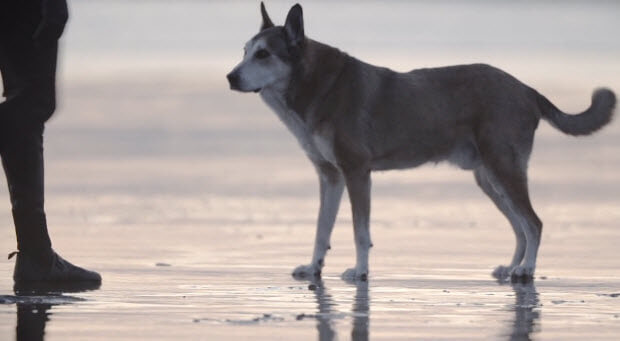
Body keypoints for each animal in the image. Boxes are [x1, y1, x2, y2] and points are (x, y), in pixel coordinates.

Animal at [228, 2, 616, 280]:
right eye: (244, 50)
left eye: (264, 54)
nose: (230, 77)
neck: (317, 85)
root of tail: (527, 89)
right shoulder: (331, 176)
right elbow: (321, 229)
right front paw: (313, 268)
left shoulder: (357, 172)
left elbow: (359, 231)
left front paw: (361, 271)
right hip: (490, 179)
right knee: (520, 226)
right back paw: (512, 267)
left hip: (504, 170)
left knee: (533, 223)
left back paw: (527, 269)